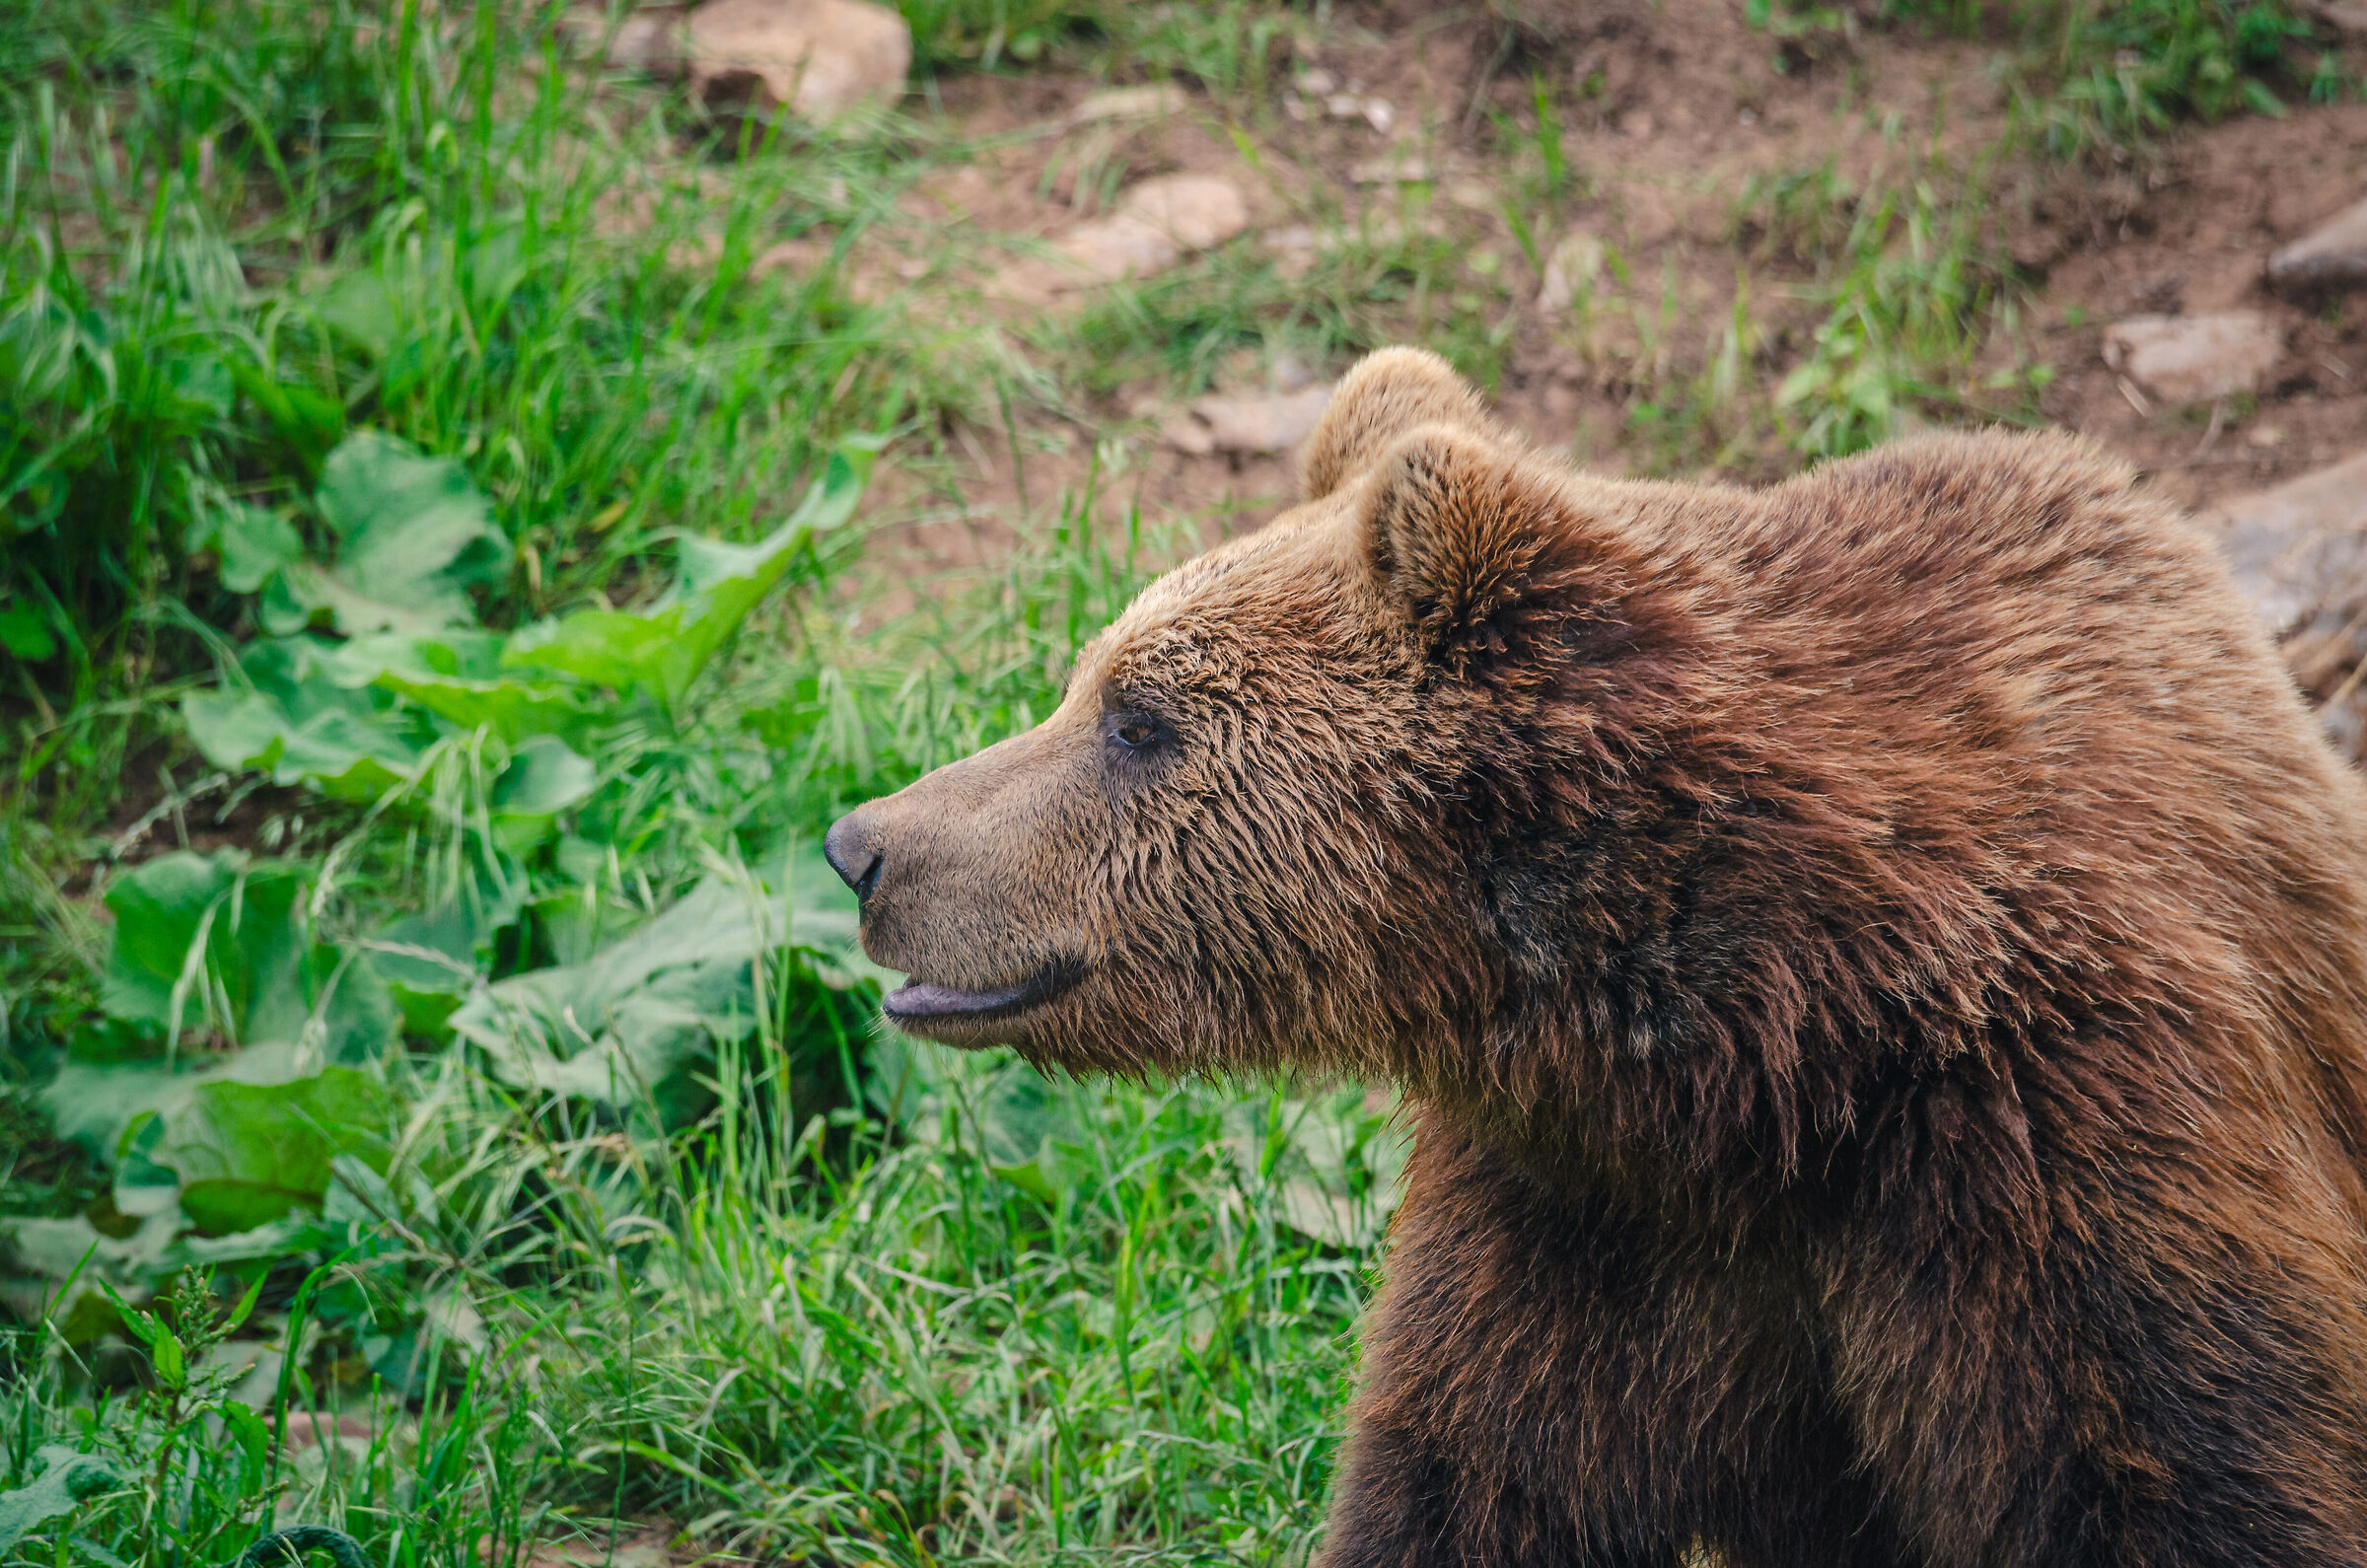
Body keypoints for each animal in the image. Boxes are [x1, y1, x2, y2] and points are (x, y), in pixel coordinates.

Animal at [825, 347, 2367, 1567]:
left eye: (1137, 719)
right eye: (1089, 680)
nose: (862, 845)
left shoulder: (2054, 1148)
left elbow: (2193, 1472)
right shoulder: (1577, 1220)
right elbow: (1465, 1486)